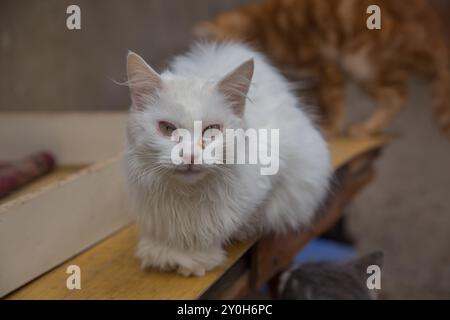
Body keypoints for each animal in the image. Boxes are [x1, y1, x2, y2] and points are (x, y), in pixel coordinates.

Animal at [123, 42, 330, 278]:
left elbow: (239, 220)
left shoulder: (276, 176)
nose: (190, 155)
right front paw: (162, 254)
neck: (187, 197)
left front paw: (197, 259)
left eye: (212, 131)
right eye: (167, 129)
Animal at [199, 0, 450, 136]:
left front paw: (332, 127)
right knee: (395, 96)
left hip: (362, 60)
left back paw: (365, 128)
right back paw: (368, 128)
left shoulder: (325, 64)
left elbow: (334, 100)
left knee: (399, 96)